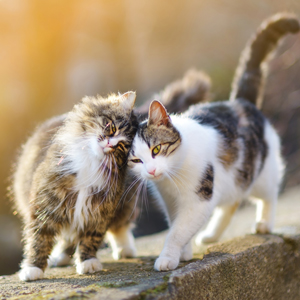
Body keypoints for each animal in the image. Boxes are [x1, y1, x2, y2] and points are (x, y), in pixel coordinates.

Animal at [127, 12, 298, 272]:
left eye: (156, 149)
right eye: (136, 160)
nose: (152, 170)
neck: (173, 177)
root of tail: (239, 101)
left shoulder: (199, 200)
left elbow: (177, 232)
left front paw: (168, 257)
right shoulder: (171, 202)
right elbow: (177, 225)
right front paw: (184, 252)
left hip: (261, 172)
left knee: (269, 194)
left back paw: (264, 223)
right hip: (232, 178)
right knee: (232, 202)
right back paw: (211, 235)